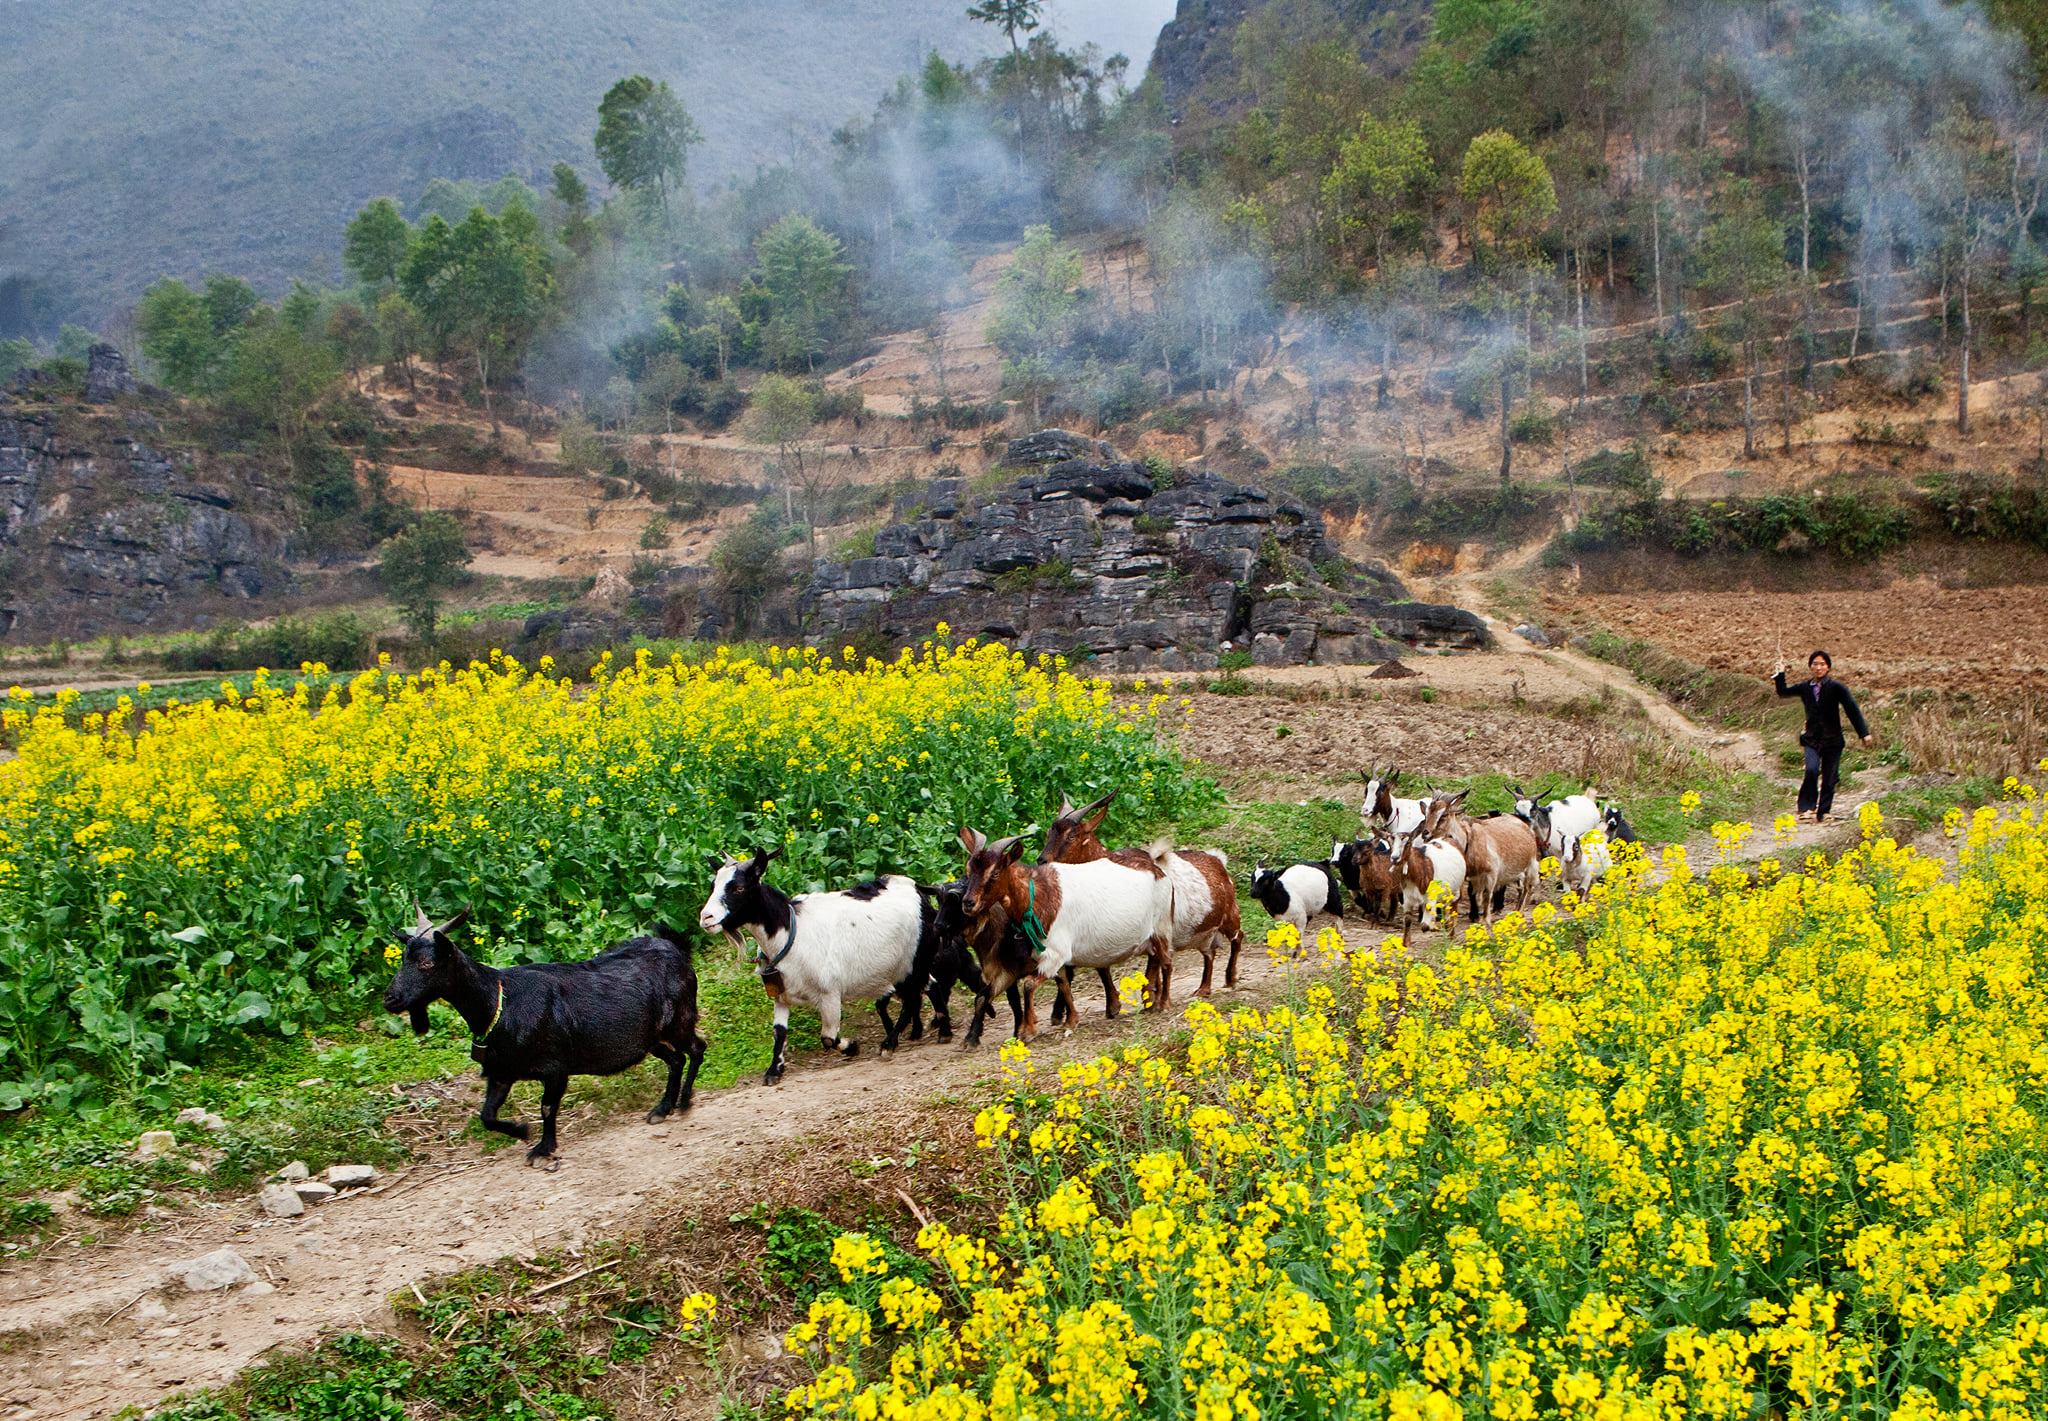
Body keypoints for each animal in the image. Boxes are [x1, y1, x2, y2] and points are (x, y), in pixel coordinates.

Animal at [382, 909, 704, 1163]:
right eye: (403, 960)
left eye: (427, 964)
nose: (390, 999)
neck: (500, 1003)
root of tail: (676, 948)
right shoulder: (502, 1072)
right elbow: (487, 1116)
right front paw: (522, 1130)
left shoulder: (555, 1068)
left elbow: (547, 1108)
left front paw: (543, 1148)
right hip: (651, 1038)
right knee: (676, 1060)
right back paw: (663, 1108)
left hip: (679, 1021)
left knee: (697, 1048)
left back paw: (685, 1101)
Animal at [696, 847, 937, 1089]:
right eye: (713, 886)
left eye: (739, 888)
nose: (706, 918)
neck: (791, 933)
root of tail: (916, 889)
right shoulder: (781, 996)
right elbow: (779, 1033)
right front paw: (774, 1070)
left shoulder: (830, 994)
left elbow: (828, 1038)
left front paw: (852, 1047)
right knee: (921, 991)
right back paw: (917, 1031)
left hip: (912, 963)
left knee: (913, 997)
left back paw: (890, 1043)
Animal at [954, 823, 1171, 1048]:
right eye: (969, 870)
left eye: (995, 873)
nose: (968, 903)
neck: (1038, 895)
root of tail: (1157, 870)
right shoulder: (1044, 956)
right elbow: (1062, 983)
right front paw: (1071, 1020)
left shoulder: (1056, 952)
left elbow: (1029, 984)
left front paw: (1027, 1031)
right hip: (1151, 936)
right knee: (1155, 959)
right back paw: (1149, 1002)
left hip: (1161, 926)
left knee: (1167, 962)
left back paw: (1164, 1003)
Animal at [1040, 790, 1245, 1003]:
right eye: (1049, 833)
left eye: (1072, 835)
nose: (1042, 860)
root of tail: (1217, 860)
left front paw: (1152, 1001)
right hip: (1204, 931)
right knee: (1209, 952)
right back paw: (1204, 988)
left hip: (1229, 915)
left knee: (1238, 937)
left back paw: (1231, 979)